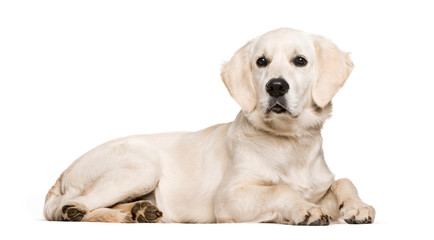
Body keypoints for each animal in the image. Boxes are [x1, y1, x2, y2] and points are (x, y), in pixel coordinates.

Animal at [45, 27, 376, 225]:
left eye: (300, 60)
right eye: (262, 61)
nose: (276, 87)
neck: (289, 143)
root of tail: (62, 174)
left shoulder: (320, 183)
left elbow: (343, 181)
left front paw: (357, 207)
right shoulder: (228, 199)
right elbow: (278, 190)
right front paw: (304, 209)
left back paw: (141, 212)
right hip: (141, 168)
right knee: (68, 205)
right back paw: (79, 211)